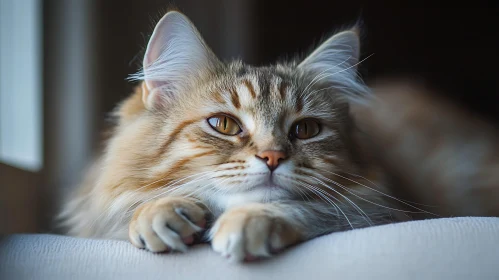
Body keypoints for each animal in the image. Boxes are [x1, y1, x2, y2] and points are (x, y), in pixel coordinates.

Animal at [58, 9, 414, 262]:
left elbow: (302, 208)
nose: (273, 157)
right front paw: (158, 213)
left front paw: (249, 222)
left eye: (305, 130)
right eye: (224, 125)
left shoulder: (376, 210)